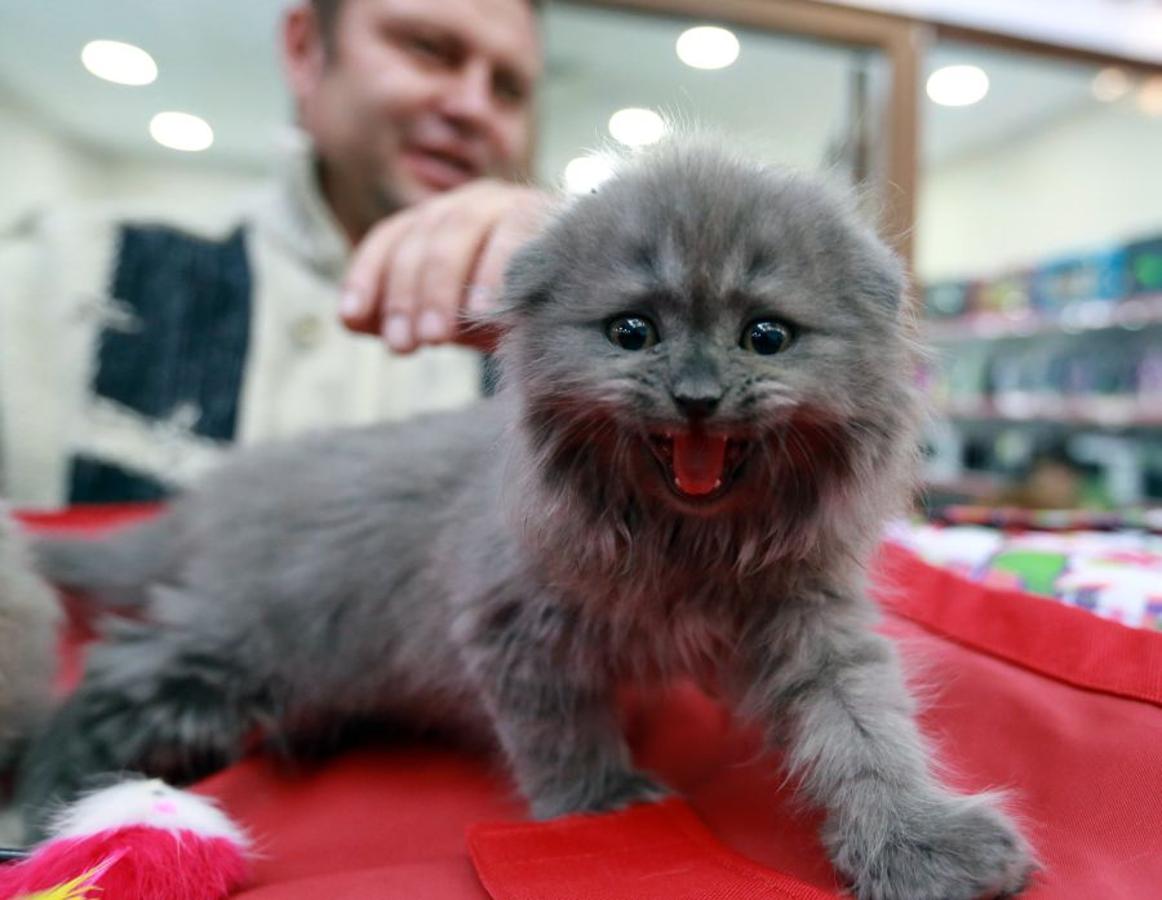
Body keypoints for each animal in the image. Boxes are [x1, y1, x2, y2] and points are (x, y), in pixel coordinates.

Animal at [22, 144, 1031, 896]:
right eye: (632, 332)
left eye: (766, 336)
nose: (697, 394)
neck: (683, 544)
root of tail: (211, 502)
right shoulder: (513, 628)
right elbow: (561, 733)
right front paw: (606, 805)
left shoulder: (807, 621)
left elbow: (863, 730)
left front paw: (918, 839)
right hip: (239, 642)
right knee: (107, 673)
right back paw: (36, 801)